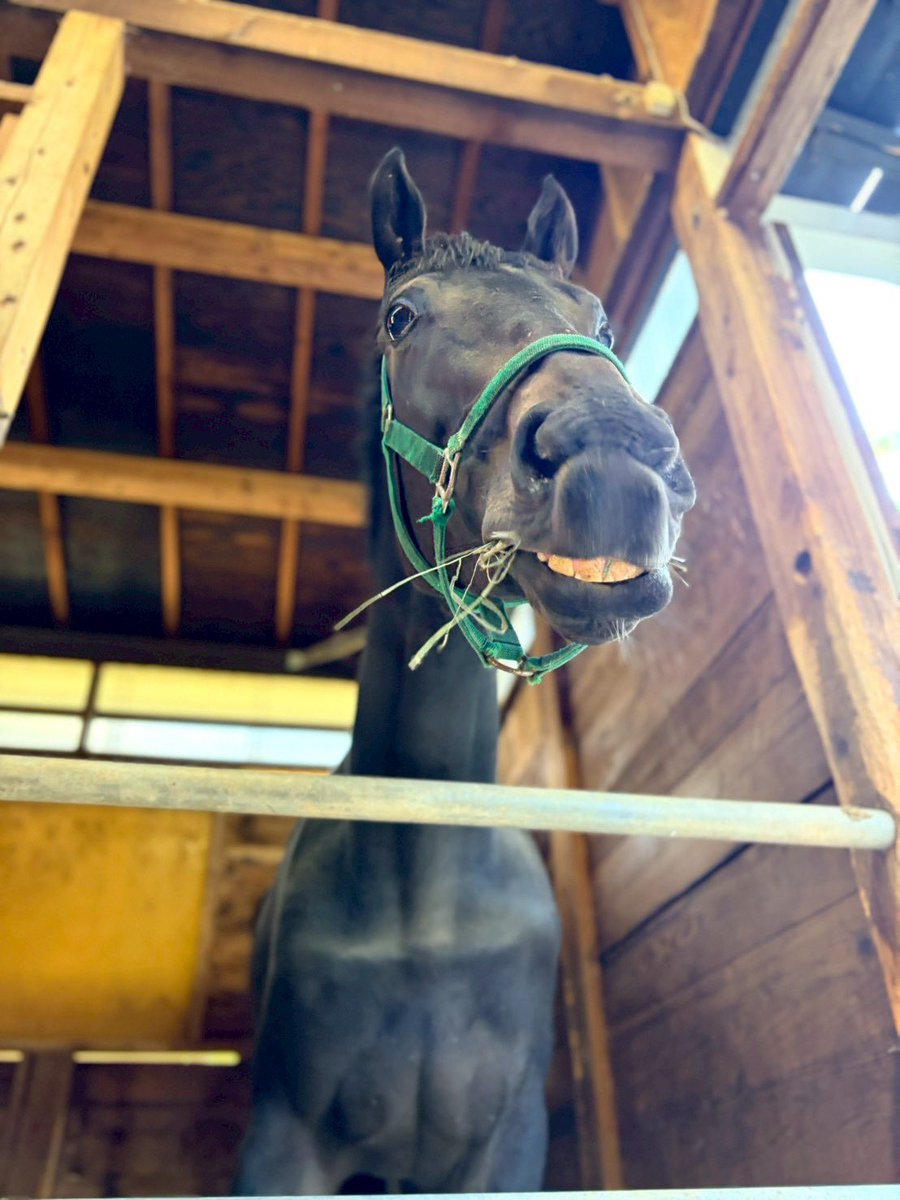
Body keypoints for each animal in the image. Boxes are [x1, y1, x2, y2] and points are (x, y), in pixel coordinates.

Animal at [233, 148, 696, 1195]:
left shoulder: (508, 1144)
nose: (613, 458)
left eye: (602, 319)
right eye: (401, 318)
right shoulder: (283, 1142)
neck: (427, 902)